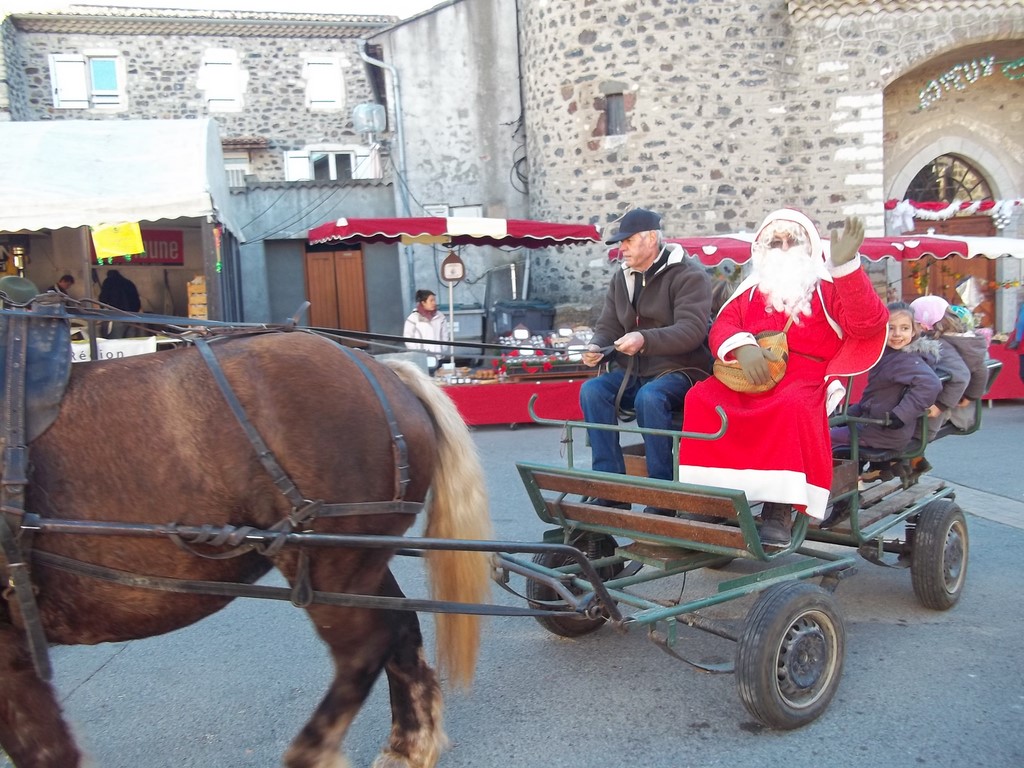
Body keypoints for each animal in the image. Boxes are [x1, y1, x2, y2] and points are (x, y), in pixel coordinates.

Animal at [0, 331, 491, 768]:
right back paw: (409, 745)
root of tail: (376, 366)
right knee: (399, 628)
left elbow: (45, 749)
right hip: (353, 563)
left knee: (367, 645)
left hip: (330, 564)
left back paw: (313, 753)